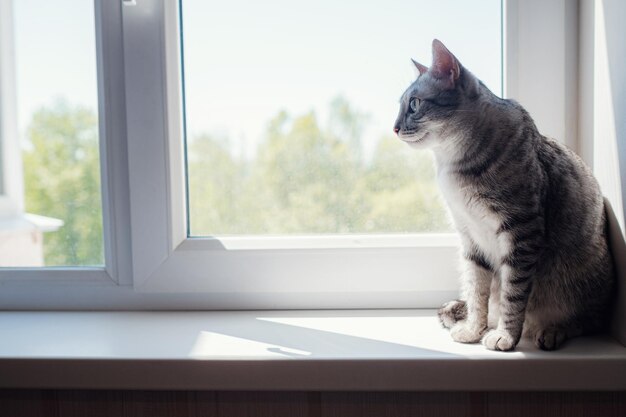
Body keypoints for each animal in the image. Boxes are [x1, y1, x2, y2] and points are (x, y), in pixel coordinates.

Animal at [392, 39, 612, 352]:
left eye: (414, 104)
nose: (395, 128)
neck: (452, 164)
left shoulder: (522, 232)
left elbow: (513, 295)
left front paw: (506, 336)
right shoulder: (470, 237)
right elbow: (477, 292)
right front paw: (474, 328)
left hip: (582, 283)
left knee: (588, 320)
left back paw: (553, 330)